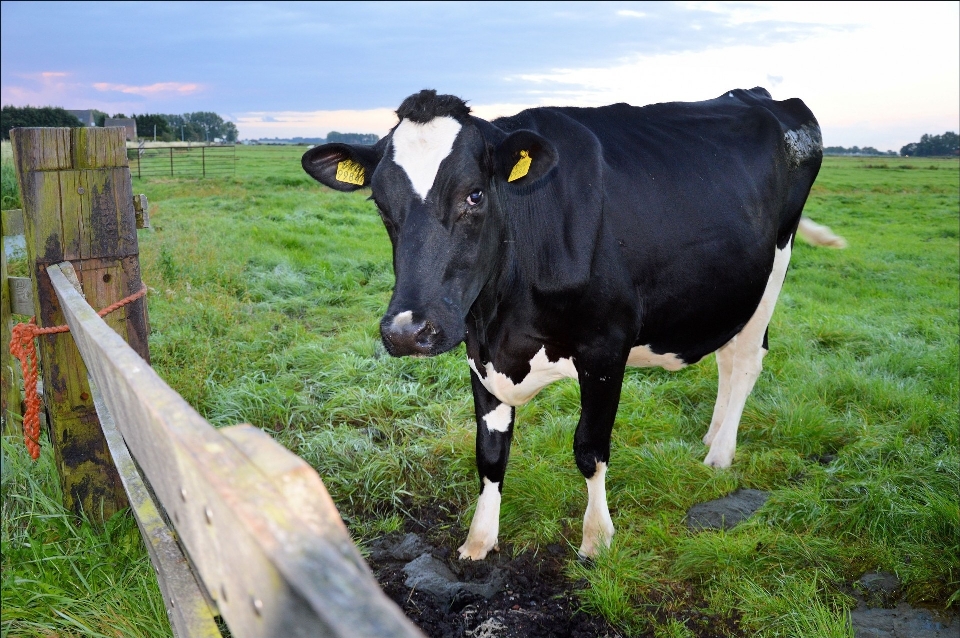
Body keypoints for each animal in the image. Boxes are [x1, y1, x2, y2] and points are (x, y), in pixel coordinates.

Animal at [304, 89, 836, 560]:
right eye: (380, 203)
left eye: (474, 195)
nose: (406, 332)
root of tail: (760, 96)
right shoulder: (479, 353)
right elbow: (490, 453)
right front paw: (479, 540)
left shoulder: (605, 348)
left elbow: (590, 447)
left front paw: (596, 538)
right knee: (726, 356)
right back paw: (712, 435)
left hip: (773, 270)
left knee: (745, 360)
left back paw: (720, 453)